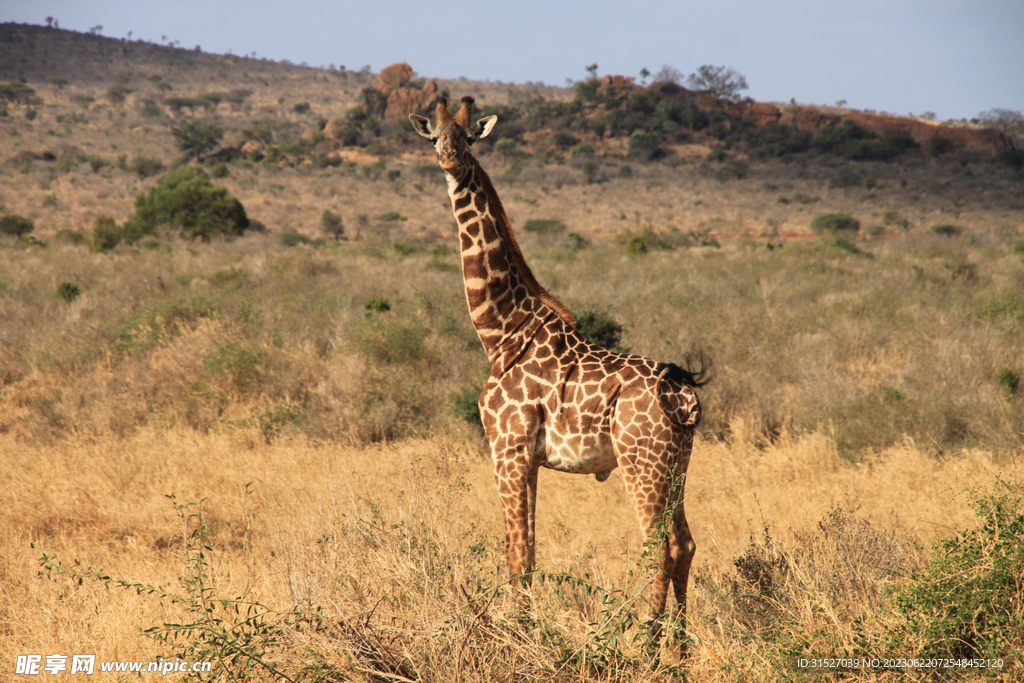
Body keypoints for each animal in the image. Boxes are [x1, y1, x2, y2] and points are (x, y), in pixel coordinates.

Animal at [407, 96, 704, 647]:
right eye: (434, 136)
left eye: (469, 138)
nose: (450, 161)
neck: (502, 332)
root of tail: (684, 394)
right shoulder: (529, 458)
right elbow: (529, 550)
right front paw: (525, 630)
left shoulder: (506, 448)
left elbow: (515, 553)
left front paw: (518, 638)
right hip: (676, 466)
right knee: (686, 544)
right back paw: (678, 648)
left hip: (641, 464)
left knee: (660, 547)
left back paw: (647, 645)